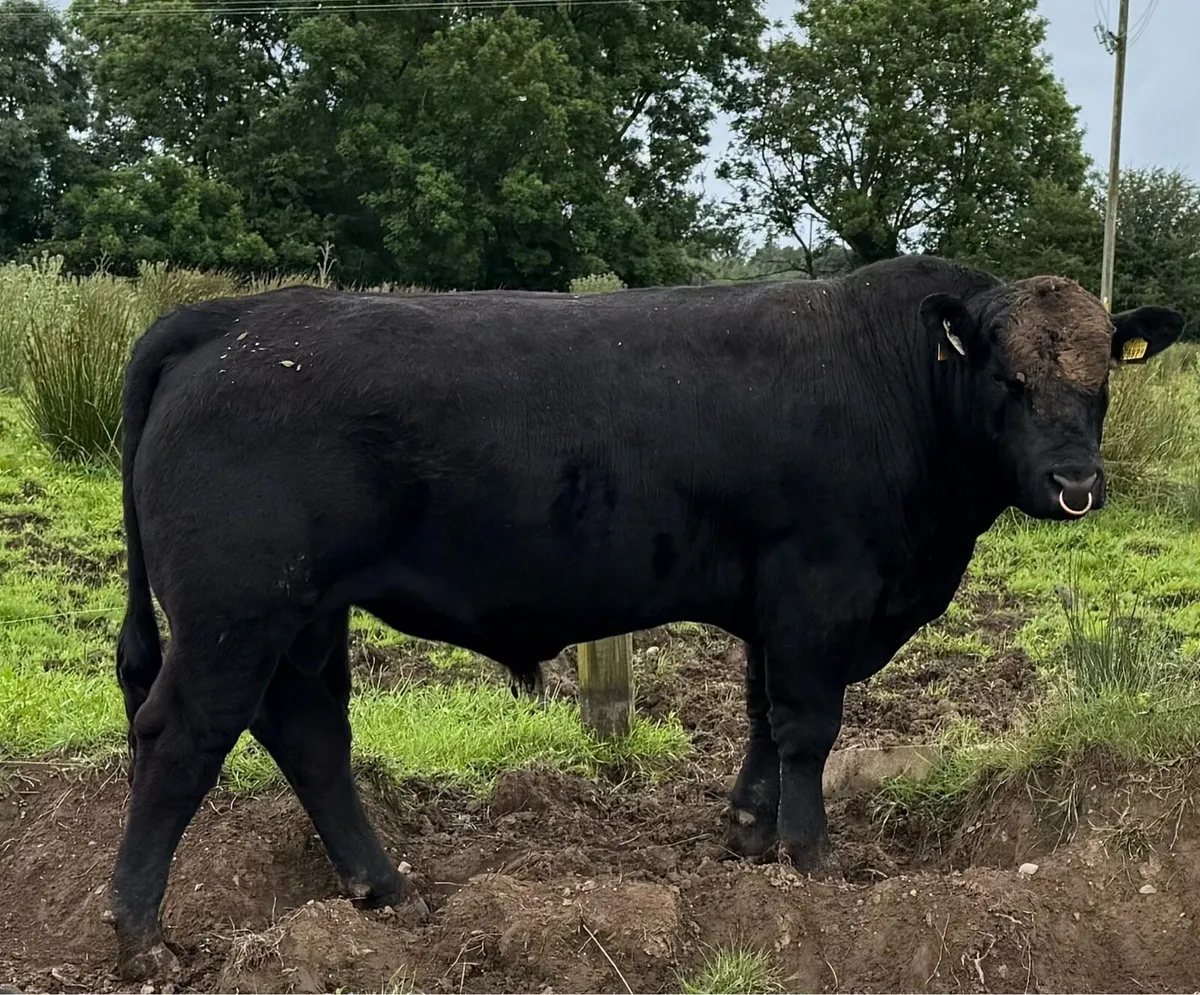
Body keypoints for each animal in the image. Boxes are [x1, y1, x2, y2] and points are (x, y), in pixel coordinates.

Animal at [109, 254, 1184, 978]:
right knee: (182, 738)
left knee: (309, 731)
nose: (1076, 485)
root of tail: (237, 314)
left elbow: (761, 716)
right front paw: (812, 857)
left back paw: (382, 885)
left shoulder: (773, 602)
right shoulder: (819, 590)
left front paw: (748, 830)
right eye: (1011, 379)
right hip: (237, 613)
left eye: (1101, 381)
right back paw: (137, 930)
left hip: (303, 616)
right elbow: (808, 725)